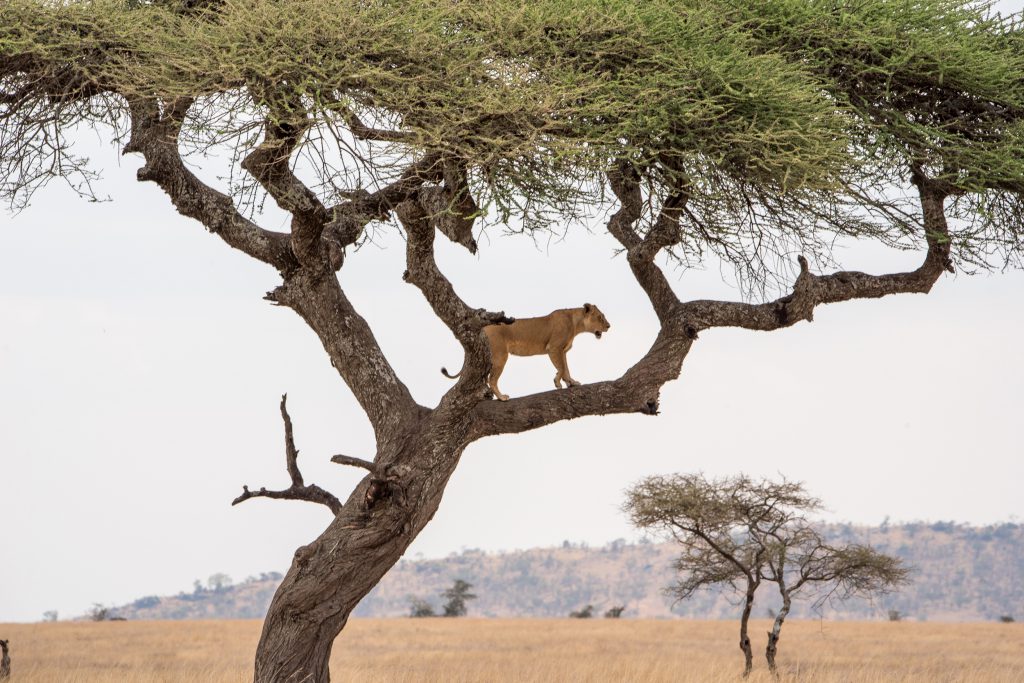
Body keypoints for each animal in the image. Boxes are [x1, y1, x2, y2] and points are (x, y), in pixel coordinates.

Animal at [442, 304, 611, 401]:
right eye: (600, 317)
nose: (609, 326)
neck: (576, 324)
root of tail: (484, 328)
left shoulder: (563, 351)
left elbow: (566, 368)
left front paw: (571, 382)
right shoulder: (554, 348)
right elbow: (562, 368)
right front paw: (557, 382)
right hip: (500, 356)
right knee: (492, 379)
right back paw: (501, 397)